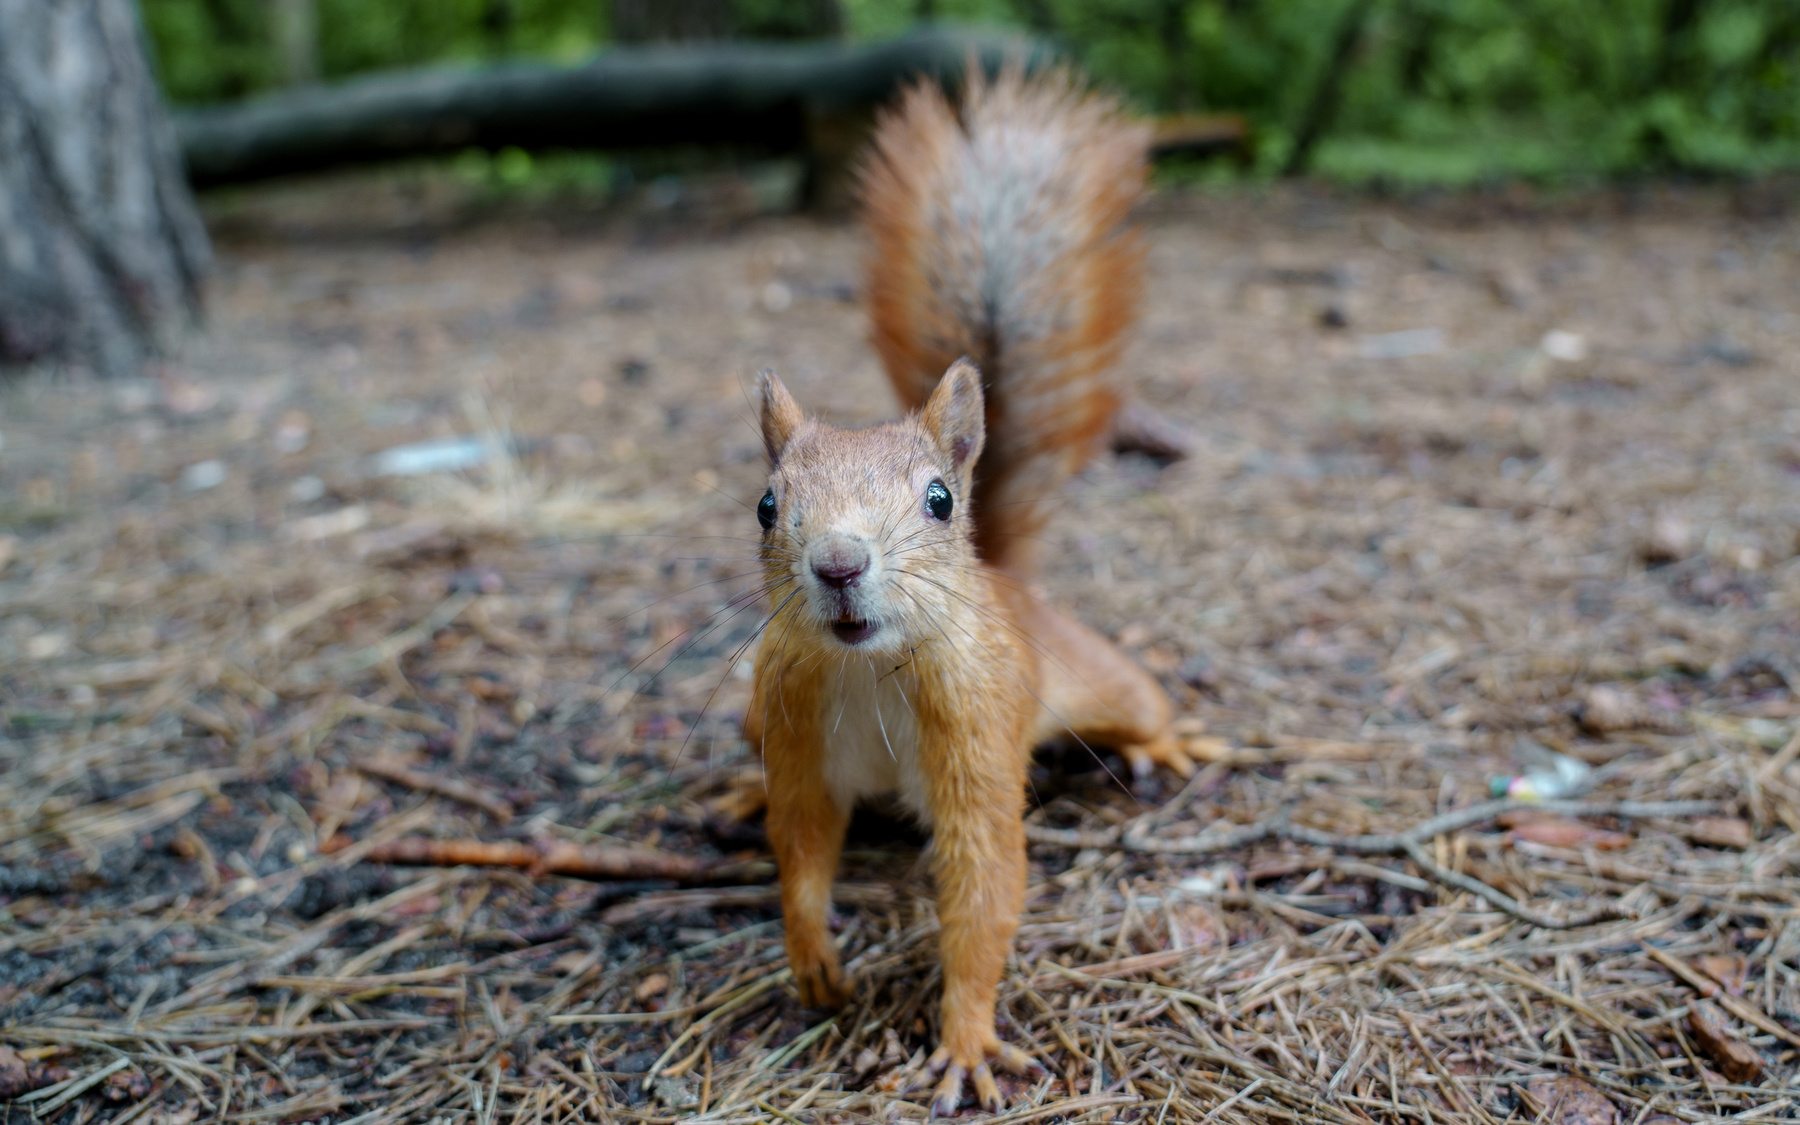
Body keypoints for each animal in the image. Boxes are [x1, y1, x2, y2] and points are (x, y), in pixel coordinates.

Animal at [743, 67, 1195, 1116]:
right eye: (766, 504)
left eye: (939, 499)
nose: (838, 564)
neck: (869, 670)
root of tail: (1008, 578)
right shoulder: (791, 718)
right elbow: (802, 840)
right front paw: (811, 951)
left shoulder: (977, 724)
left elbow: (983, 878)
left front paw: (965, 1040)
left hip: (1092, 673)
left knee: (1138, 698)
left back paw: (1165, 741)